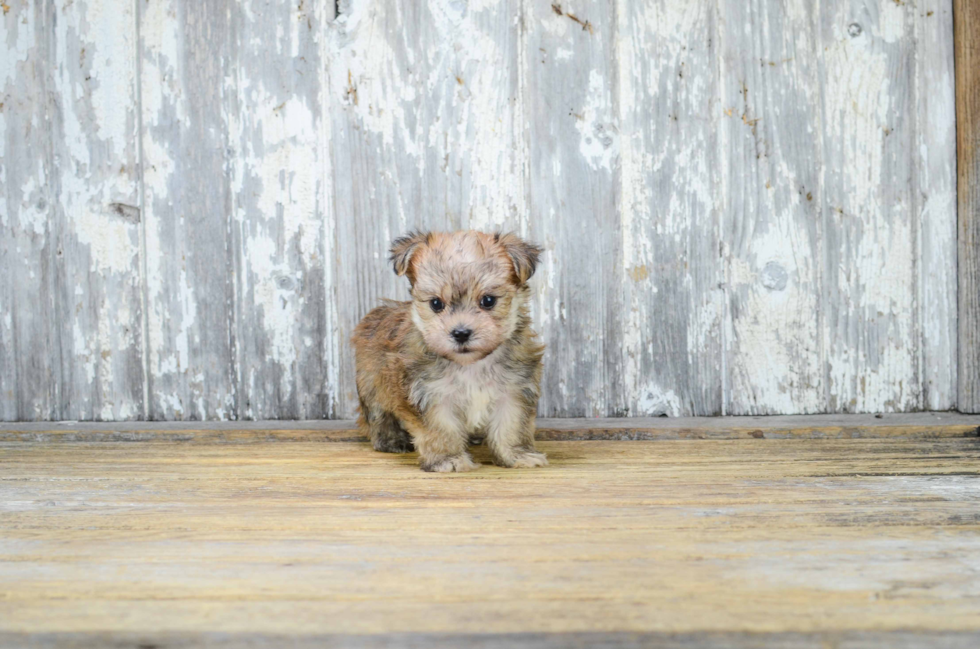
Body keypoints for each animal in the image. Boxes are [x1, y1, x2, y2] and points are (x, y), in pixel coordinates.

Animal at [350, 232, 548, 470]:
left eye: (488, 301)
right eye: (436, 304)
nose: (461, 333)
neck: (470, 364)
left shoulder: (514, 390)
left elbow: (512, 425)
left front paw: (518, 454)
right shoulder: (430, 394)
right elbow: (441, 429)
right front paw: (448, 459)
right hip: (372, 385)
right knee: (379, 416)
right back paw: (391, 440)